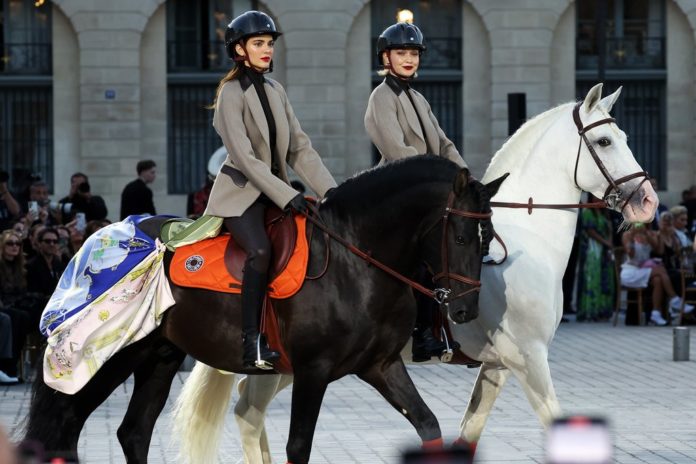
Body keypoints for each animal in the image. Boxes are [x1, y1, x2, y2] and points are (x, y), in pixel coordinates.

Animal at [24, 157, 502, 464]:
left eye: (488, 237)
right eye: (461, 236)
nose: (465, 309)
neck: (355, 260)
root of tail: (97, 240)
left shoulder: (380, 365)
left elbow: (428, 425)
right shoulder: (312, 370)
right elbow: (298, 447)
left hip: (158, 356)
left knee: (133, 432)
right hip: (107, 359)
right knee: (65, 426)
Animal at [173, 84, 656, 464]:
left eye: (625, 136)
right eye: (606, 141)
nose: (646, 201)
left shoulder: (498, 366)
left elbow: (467, 434)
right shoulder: (528, 357)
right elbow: (555, 419)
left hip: (286, 365)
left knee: (247, 412)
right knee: (248, 414)